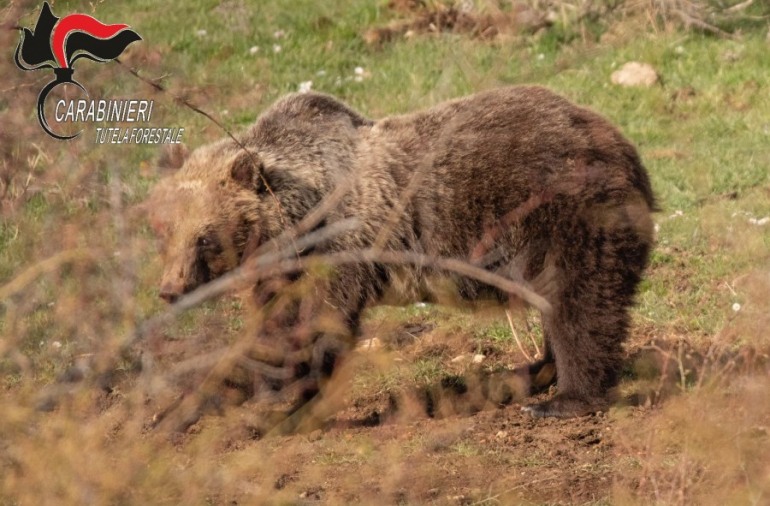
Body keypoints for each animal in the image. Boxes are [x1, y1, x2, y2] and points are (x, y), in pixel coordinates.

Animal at [148, 88, 656, 420]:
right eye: (164, 231)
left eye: (205, 238)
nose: (170, 289)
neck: (298, 222)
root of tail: (620, 143)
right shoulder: (281, 272)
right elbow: (272, 333)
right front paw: (183, 407)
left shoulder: (341, 252)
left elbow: (314, 331)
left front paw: (284, 404)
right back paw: (528, 371)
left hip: (566, 213)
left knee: (579, 303)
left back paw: (565, 399)